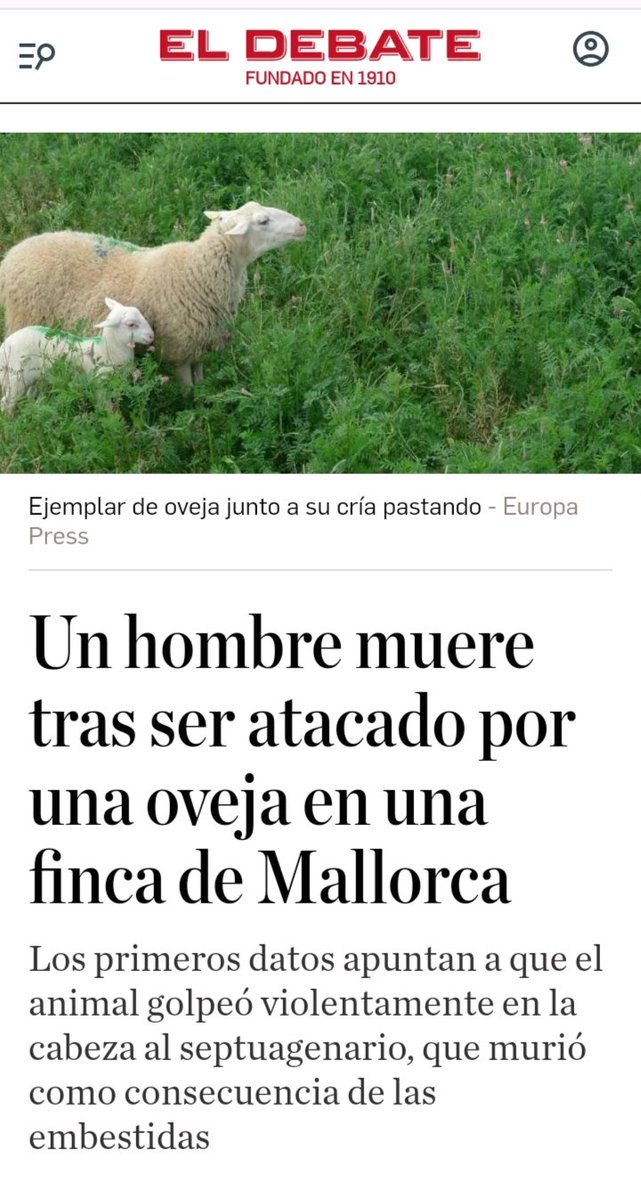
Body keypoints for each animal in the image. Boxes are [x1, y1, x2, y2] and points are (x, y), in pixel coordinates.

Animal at [0, 202, 307, 388]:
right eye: (263, 221)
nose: (302, 225)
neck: (197, 271)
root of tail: (11, 256)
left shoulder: (199, 345)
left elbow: (201, 382)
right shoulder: (179, 349)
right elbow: (188, 392)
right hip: (23, 320)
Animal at [0, 297, 154, 412]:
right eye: (131, 324)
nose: (151, 336)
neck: (107, 349)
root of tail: (5, 345)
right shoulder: (99, 384)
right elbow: (106, 407)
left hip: (30, 379)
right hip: (15, 379)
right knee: (7, 403)